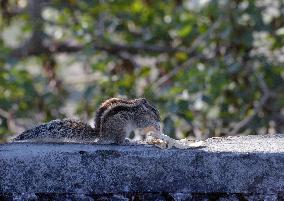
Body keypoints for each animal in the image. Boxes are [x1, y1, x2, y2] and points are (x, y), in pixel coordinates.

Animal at [11, 98, 162, 144]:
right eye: (155, 111)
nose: (160, 119)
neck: (138, 106)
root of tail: (101, 135)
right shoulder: (139, 117)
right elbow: (143, 123)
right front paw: (157, 126)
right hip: (122, 127)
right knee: (117, 142)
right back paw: (127, 141)